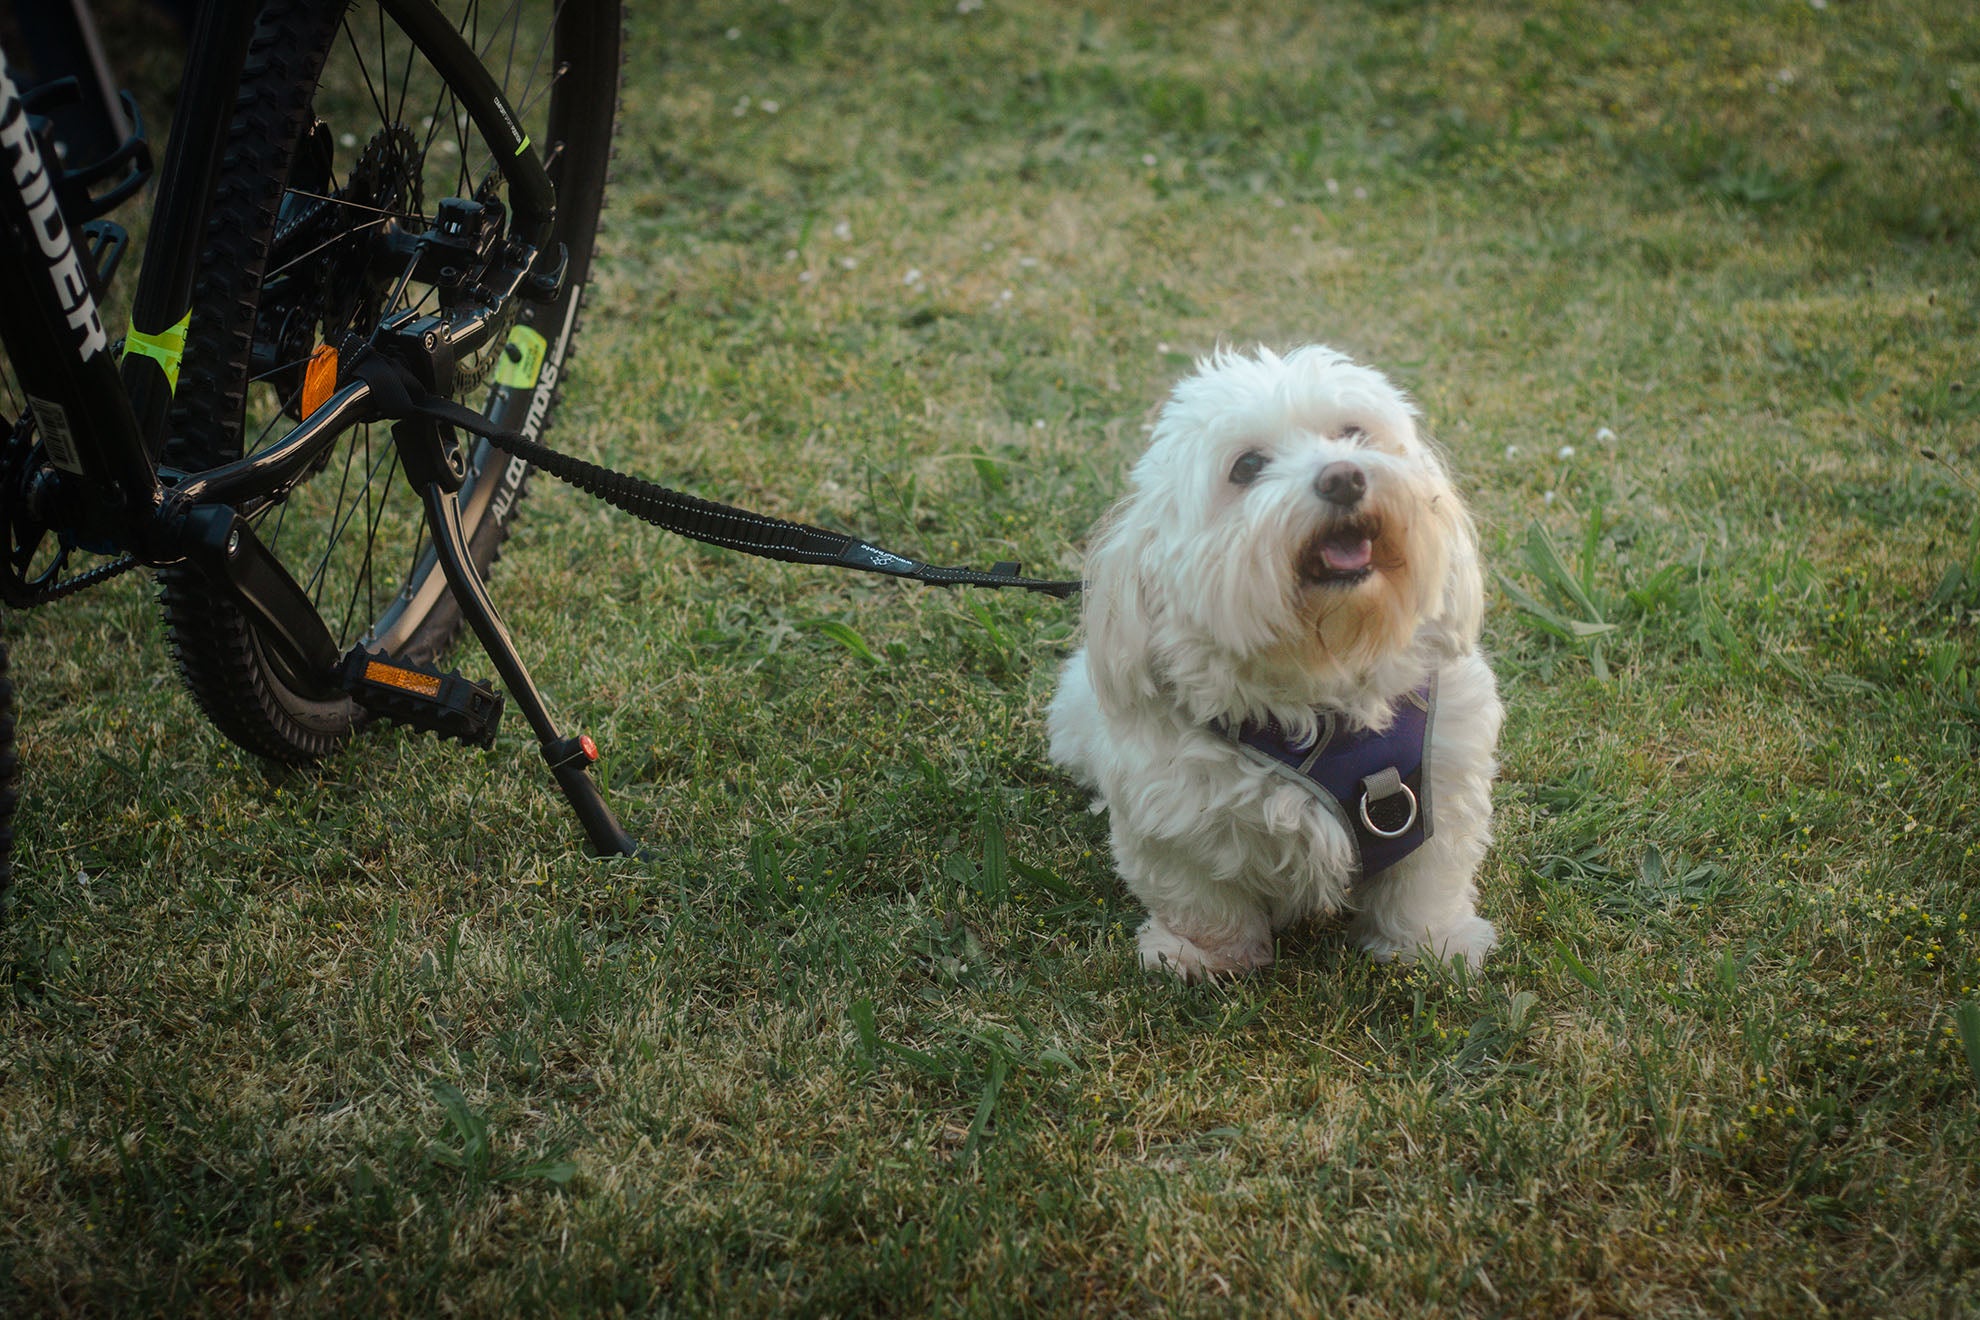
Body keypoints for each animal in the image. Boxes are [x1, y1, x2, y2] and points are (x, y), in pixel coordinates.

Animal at [1053, 346, 1496, 977]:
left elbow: (1424, 880)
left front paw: (1433, 945)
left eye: (1353, 433)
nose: (1344, 477)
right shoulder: (1171, 813)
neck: (1321, 676)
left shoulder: (1440, 784)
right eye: (1247, 467)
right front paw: (1203, 955)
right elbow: (1200, 894)